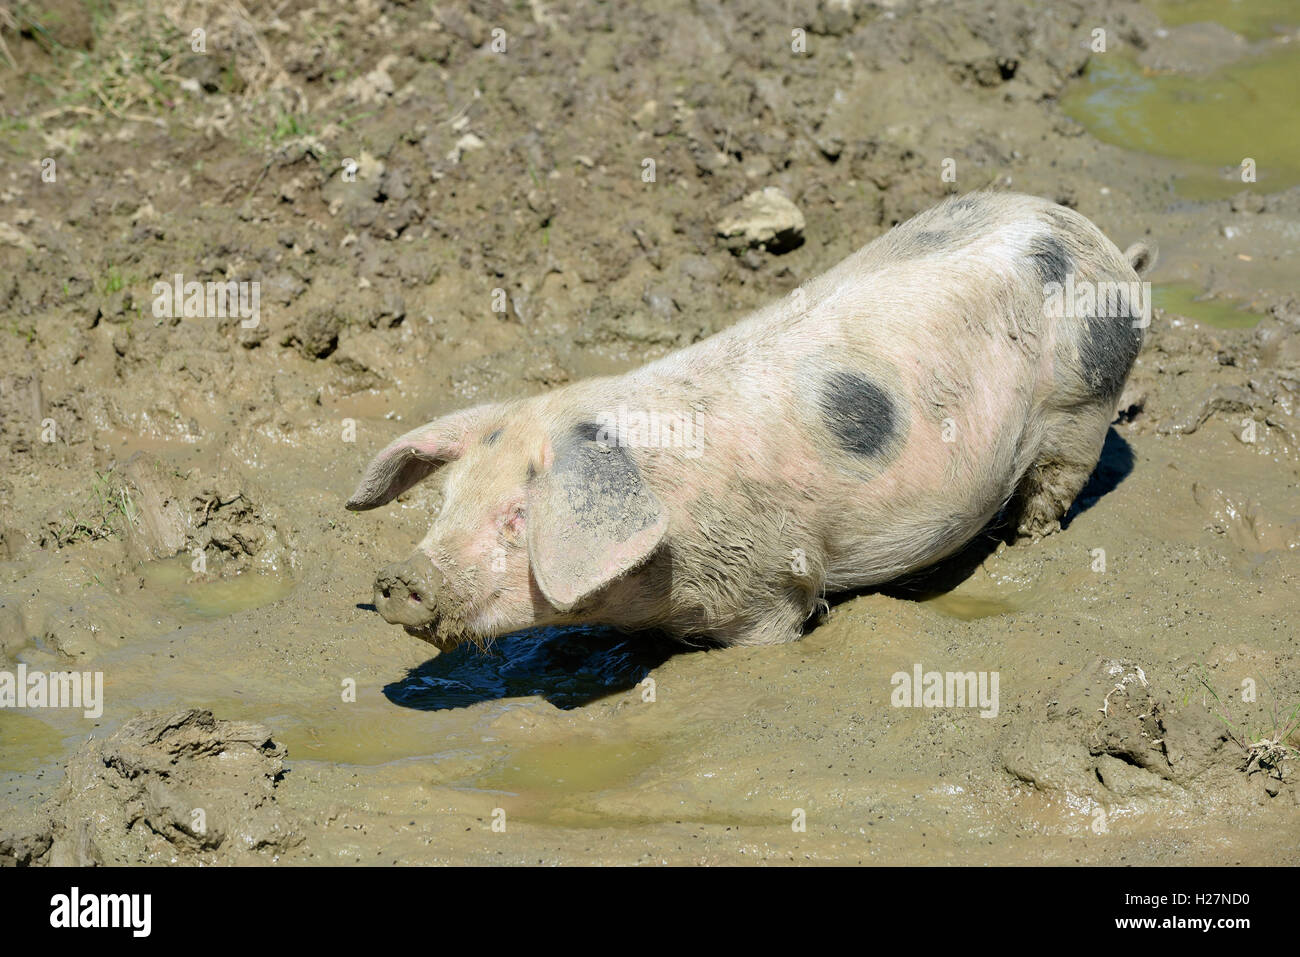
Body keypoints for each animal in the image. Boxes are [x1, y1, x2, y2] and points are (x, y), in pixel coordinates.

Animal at [345, 188, 1149, 650]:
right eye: (446, 501)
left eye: (519, 515)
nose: (397, 576)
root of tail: (1103, 242)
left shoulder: (769, 581)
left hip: (1083, 401)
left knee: (1059, 477)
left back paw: (1027, 541)